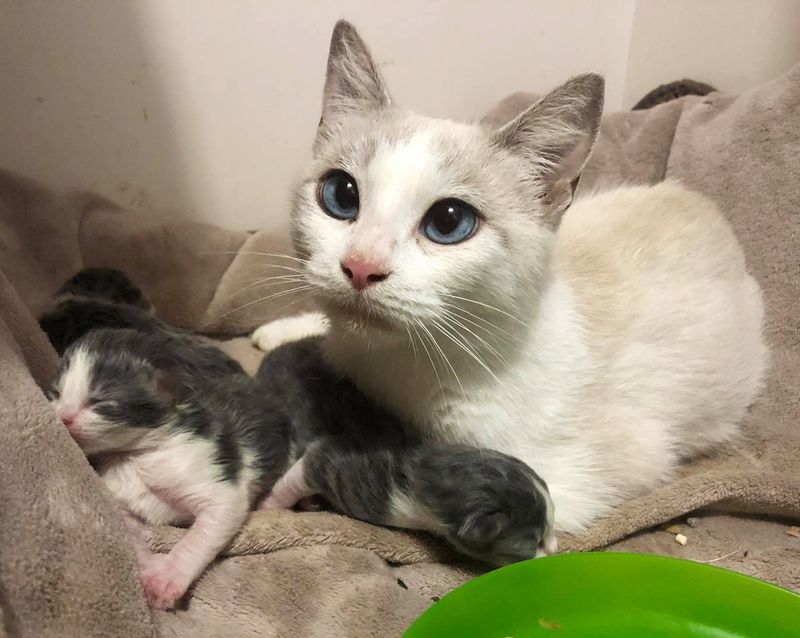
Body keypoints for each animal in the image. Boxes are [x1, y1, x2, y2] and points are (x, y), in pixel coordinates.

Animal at [50, 330, 288, 608]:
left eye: (100, 401)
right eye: (55, 393)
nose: (63, 417)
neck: (133, 456)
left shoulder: (216, 481)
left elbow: (202, 533)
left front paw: (166, 577)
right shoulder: (120, 498)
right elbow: (130, 532)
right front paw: (147, 564)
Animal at [253, 21, 764, 536]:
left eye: (450, 222)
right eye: (341, 194)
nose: (361, 265)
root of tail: (700, 202)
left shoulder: (591, 468)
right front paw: (287, 328)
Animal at [256, 340, 556, 564]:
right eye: (535, 543)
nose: (555, 549)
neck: (425, 465)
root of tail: (275, 352)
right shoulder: (339, 466)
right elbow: (297, 476)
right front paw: (268, 506)